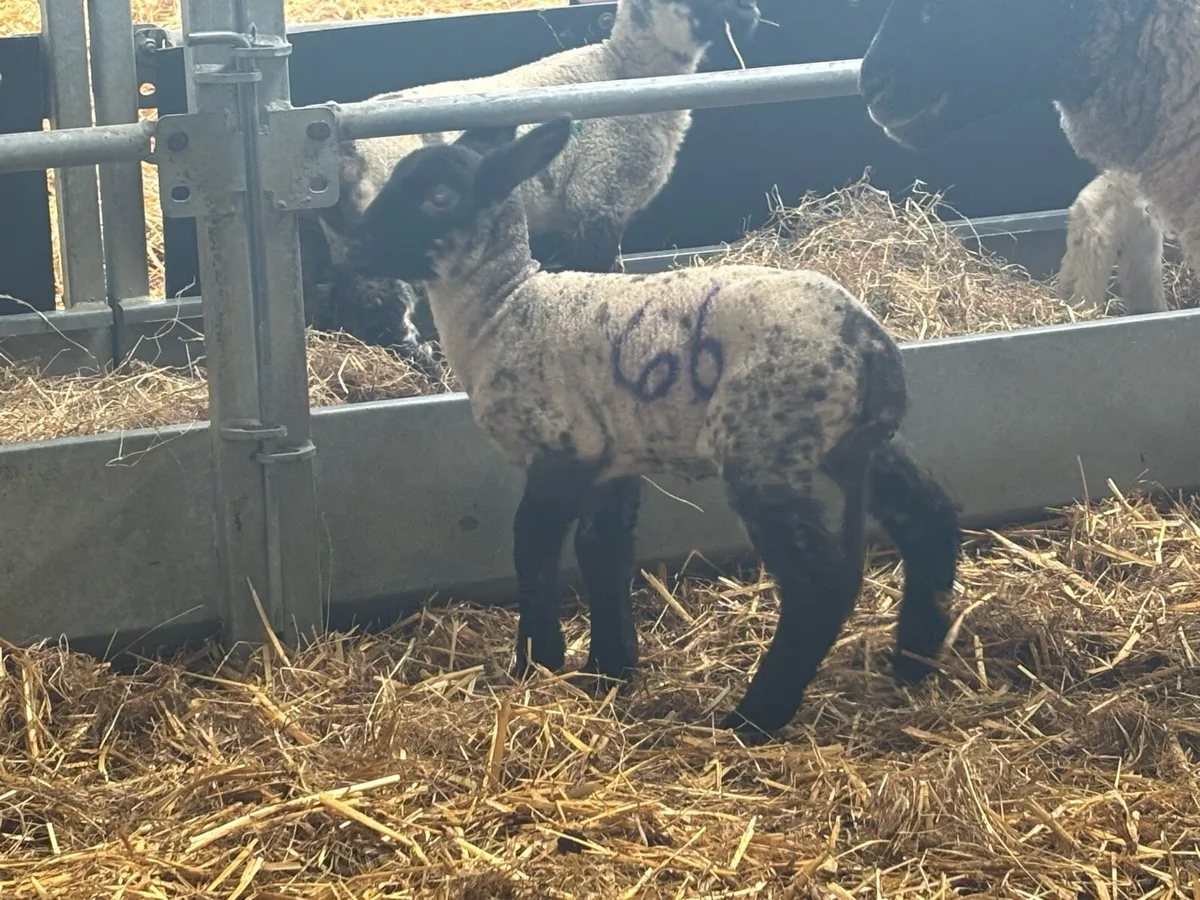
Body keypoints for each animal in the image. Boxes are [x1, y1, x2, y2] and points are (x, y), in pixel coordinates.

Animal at [302, 0, 762, 358]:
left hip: (348, 238)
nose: (751, 11)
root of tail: (339, 157)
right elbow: (598, 268)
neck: (622, 72)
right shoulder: (597, 198)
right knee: (381, 303)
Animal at [343, 116, 964, 741]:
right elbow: (604, 550)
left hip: (765, 445)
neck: (504, 308)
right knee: (929, 516)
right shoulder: (612, 453)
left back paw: (753, 718)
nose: (352, 243)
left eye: (439, 197)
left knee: (820, 584)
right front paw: (609, 669)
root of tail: (869, 346)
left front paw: (535, 663)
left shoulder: (560, 447)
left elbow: (533, 550)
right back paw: (913, 660)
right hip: (851, 442)